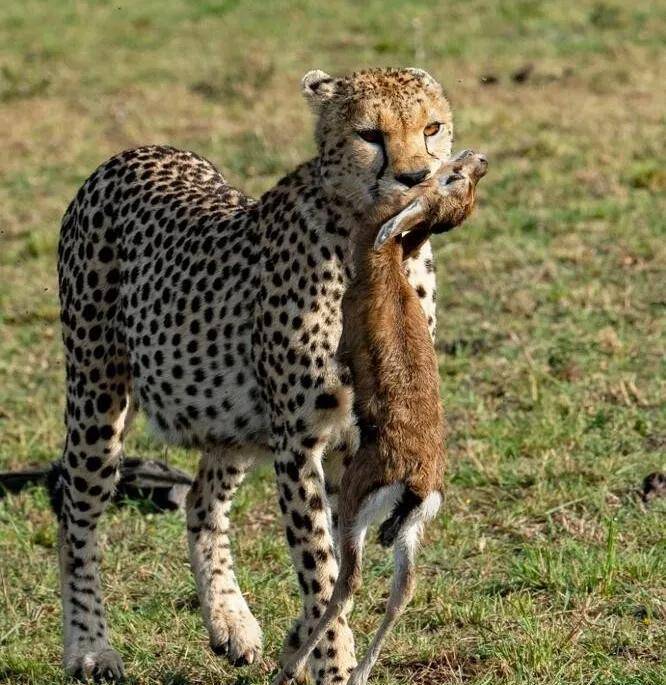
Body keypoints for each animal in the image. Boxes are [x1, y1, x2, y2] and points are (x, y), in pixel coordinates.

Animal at [55, 67, 452, 680]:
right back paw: (90, 647)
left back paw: (230, 622)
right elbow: (322, 569)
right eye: (370, 134)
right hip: (97, 395)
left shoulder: (358, 438)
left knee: (200, 501)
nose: (417, 178)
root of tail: (132, 153)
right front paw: (334, 663)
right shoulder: (299, 442)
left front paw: (305, 644)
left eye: (431, 127)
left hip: (232, 417)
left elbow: (338, 561)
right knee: (76, 514)